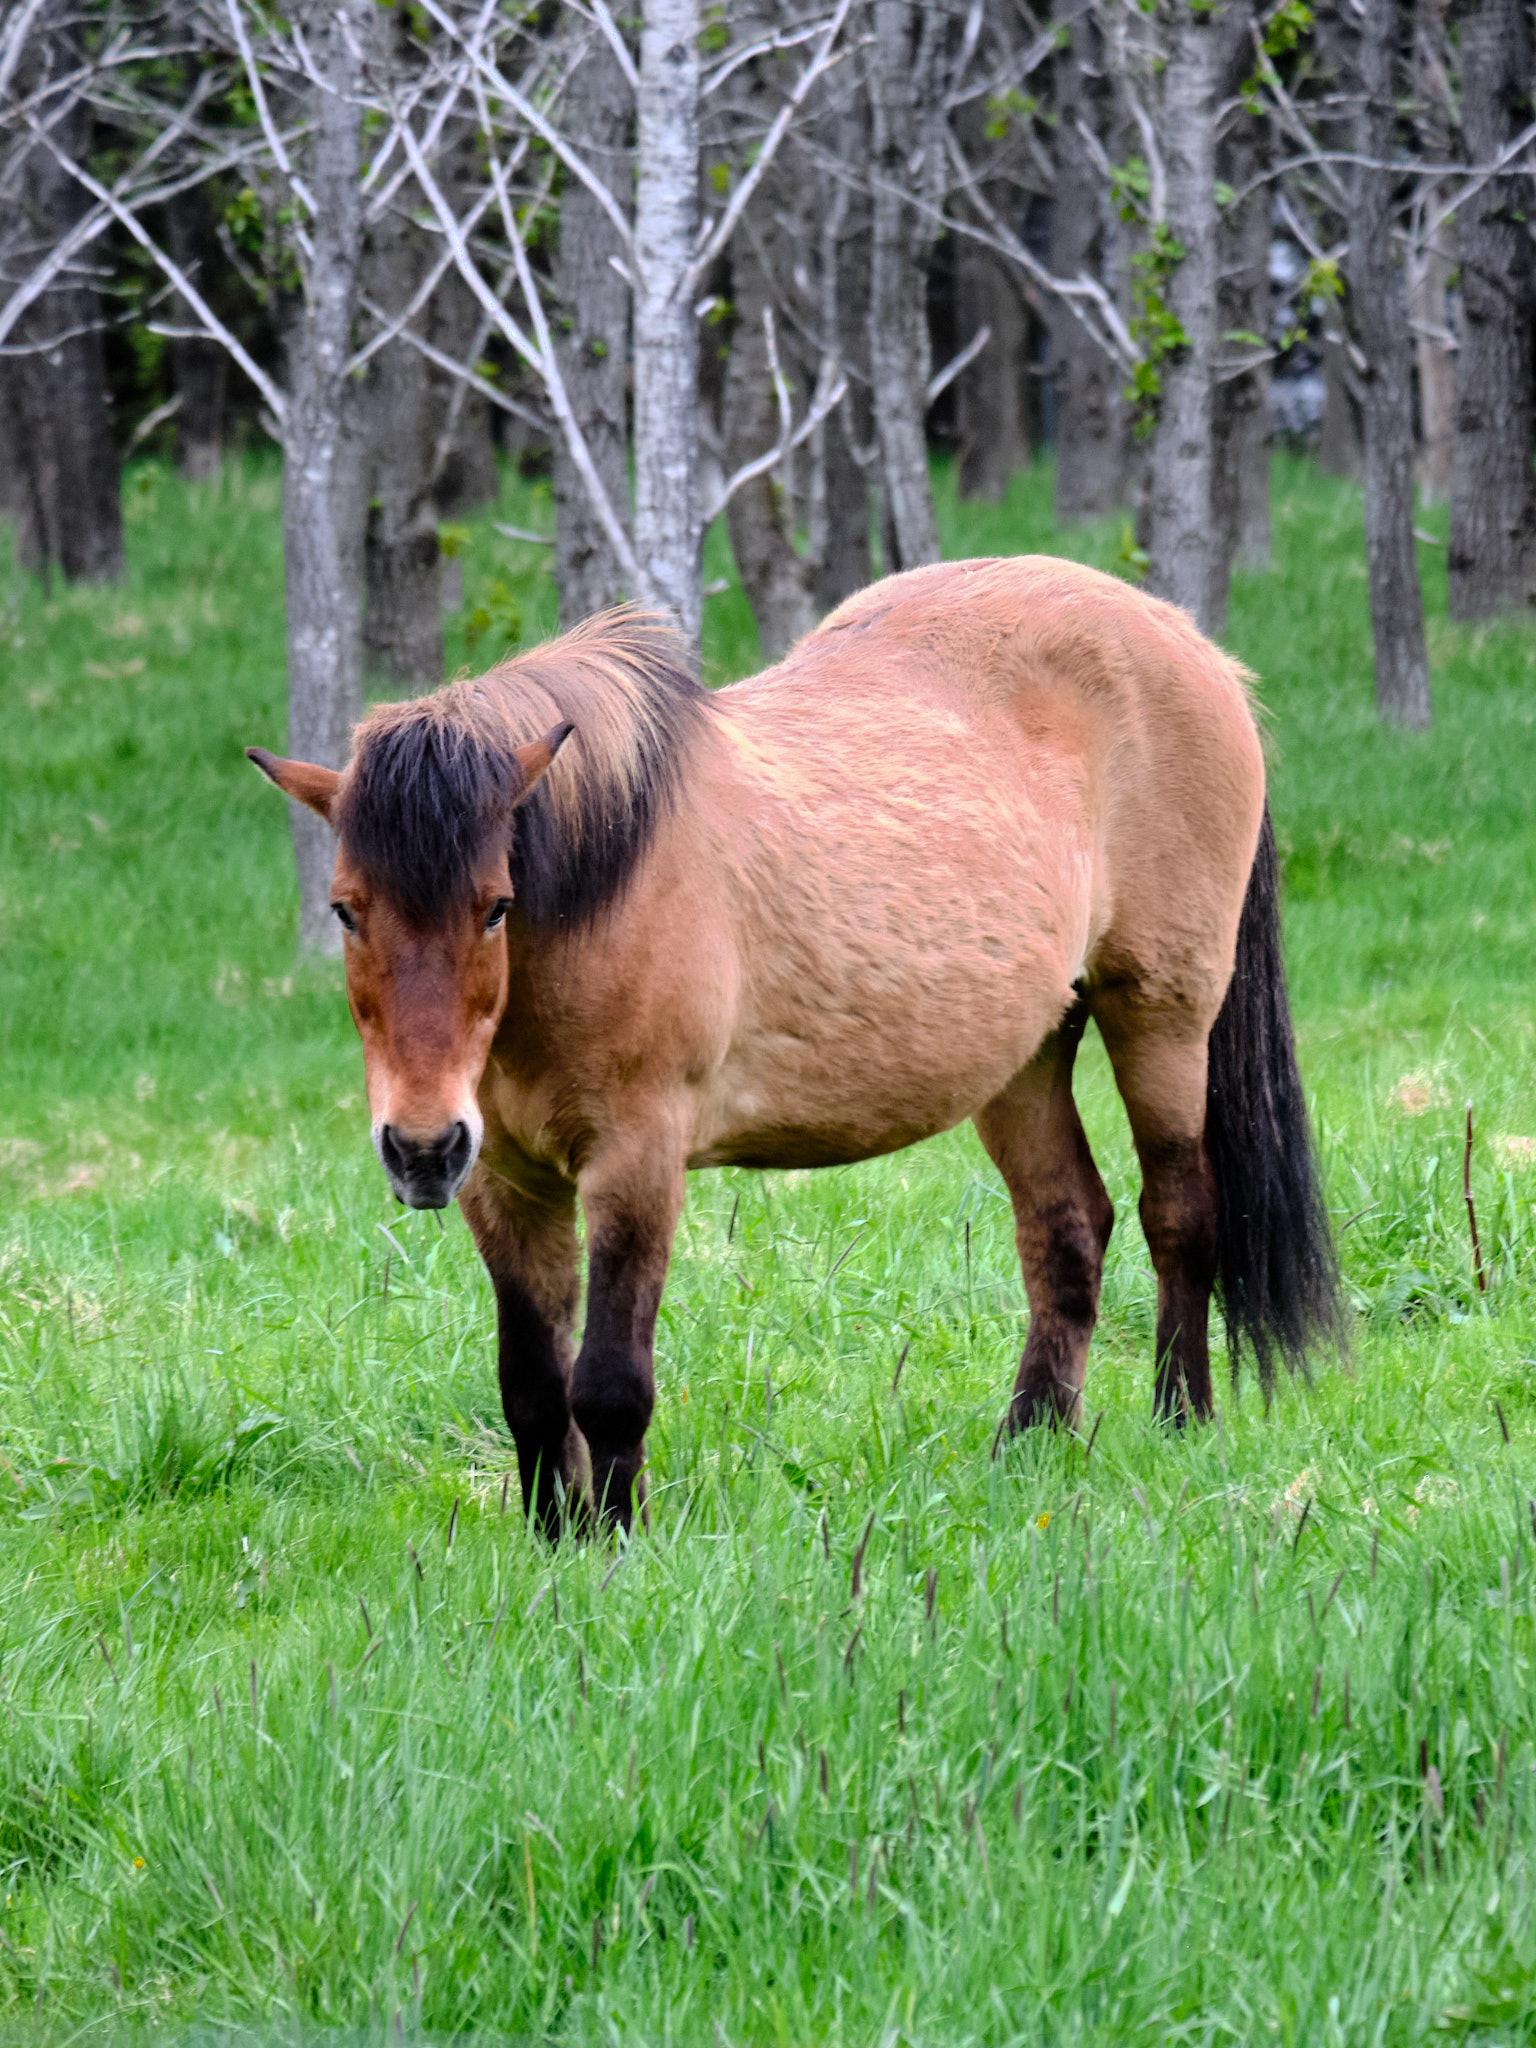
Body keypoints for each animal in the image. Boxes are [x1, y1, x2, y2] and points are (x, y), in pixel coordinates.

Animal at [249, 557, 1340, 1535]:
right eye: (346, 910)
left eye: (495, 907)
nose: (421, 1147)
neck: (605, 890)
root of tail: (1191, 645)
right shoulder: (506, 1183)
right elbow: (531, 1384)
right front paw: (555, 1540)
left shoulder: (636, 1161)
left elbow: (607, 1382)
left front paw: (616, 1542)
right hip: (1024, 1056)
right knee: (1068, 1228)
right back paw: (1026, 1448)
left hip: (1163, 1012)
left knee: (1179, 1211)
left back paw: (1181, 1419)